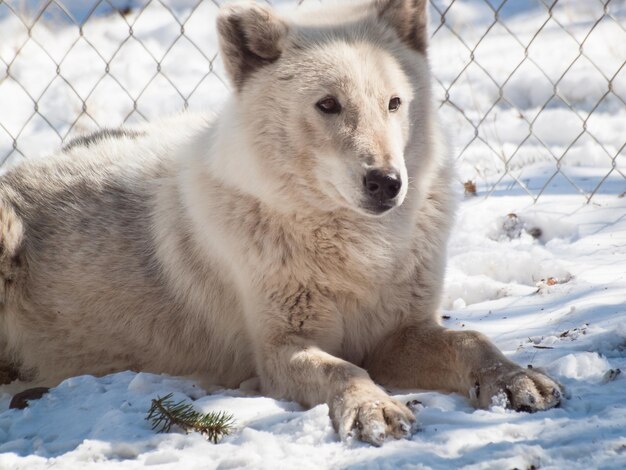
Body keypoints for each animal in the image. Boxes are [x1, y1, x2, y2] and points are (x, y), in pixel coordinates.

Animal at [0, 0, 560, 444]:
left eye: (394, 104)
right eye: (328, 105)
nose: (386, 182)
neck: (354, 249)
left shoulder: (399, 332)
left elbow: (473, 339)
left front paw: (514, 379)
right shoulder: (279, 350)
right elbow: (343, 369)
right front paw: (373, 407)